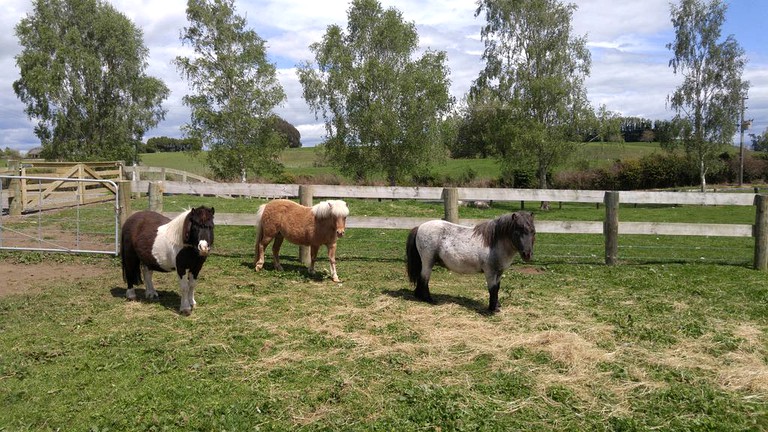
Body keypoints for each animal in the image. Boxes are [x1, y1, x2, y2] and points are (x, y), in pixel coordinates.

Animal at [408, 212, 536, 310]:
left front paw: (497, 305)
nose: (527, 254)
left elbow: (497, 288)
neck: (493, 243)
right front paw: (492, 308)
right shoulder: (490, 272)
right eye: (518, 231)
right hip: (428, 262)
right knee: (424, 279)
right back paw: (428, 299)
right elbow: (492, 289)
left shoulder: (499, 273)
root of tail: (419, 227)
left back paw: (419, 296)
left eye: (533, 232)